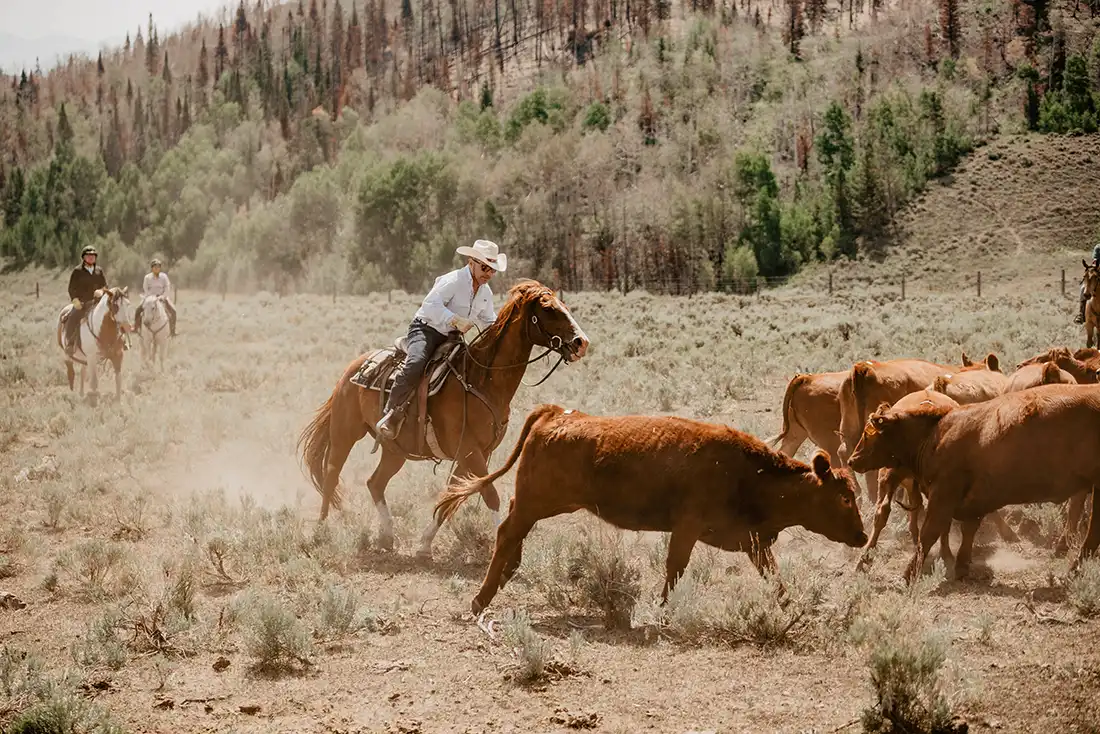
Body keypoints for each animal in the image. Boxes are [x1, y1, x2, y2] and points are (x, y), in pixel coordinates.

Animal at [297, 279, 594, 556]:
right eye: (548, 309)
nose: (582, 343)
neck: (482, 380)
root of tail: (355, 366)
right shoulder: (471, 452)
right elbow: (490, 495)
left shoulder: (472, 453)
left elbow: (450, 496)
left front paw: (425, 544)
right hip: (345, 433)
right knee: (331, 475)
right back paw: (322, 530)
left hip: (395, 450)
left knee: (375, 483)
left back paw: (387, 536)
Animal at [433, 404, 871, 616]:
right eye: (843, 498)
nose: (862, 535)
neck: (748, 473)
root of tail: (556, 412)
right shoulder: (687, 528)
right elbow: (675, 569)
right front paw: (661, 608)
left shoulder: (752, 541)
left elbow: (773, 576)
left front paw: (790, 606)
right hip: (536, 501)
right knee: (508, 531)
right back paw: (480, 599)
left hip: (541, 503)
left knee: (513, 531)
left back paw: (503, 577)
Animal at [844, 385, 1100, 585]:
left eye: (868, 434)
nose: (852, 460)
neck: (935, 434)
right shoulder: (973, 498)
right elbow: (966, 529)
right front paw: (960, 565)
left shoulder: (944, 494)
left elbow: (931, 532)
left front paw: (909, 574)